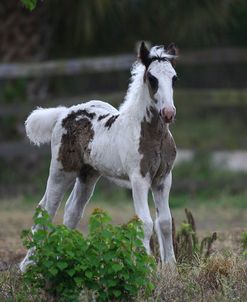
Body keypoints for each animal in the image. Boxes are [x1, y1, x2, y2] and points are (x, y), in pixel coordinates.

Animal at [19, 41, 178, 270]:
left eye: (174, 77)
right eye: (152, 78)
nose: (168, 113)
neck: (151, 134)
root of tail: (64, 113)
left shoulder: (163, 179)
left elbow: (165, 222)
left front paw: (172, 270)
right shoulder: (139, 178)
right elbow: (146, 222)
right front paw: (146, 269)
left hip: (88, 174)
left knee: (72, 211)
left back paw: (62, 259)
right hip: (61, 170)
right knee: (46, 209)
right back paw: (29, 265)